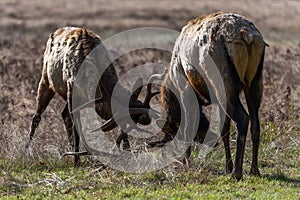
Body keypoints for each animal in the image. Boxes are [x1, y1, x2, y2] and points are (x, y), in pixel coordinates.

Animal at [28, 27, 157, 166]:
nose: (147, 118)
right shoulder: (71, 89)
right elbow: (77, 128)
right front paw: (76, 162)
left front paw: (128, 153)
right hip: (45, 80)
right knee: (36, 117)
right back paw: (28, 151)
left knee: (64, 114)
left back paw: (69, 147)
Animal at [146, 12, 266, 181]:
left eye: (172, 129)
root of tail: (247, 37)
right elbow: (224, 130)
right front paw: (227, 166)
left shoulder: (185, 90)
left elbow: (188, 126)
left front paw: (187, 162)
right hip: (254, 82)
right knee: (255, 123)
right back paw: (254, 170)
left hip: (223, 83)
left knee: (243, 118)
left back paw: (237, 173)